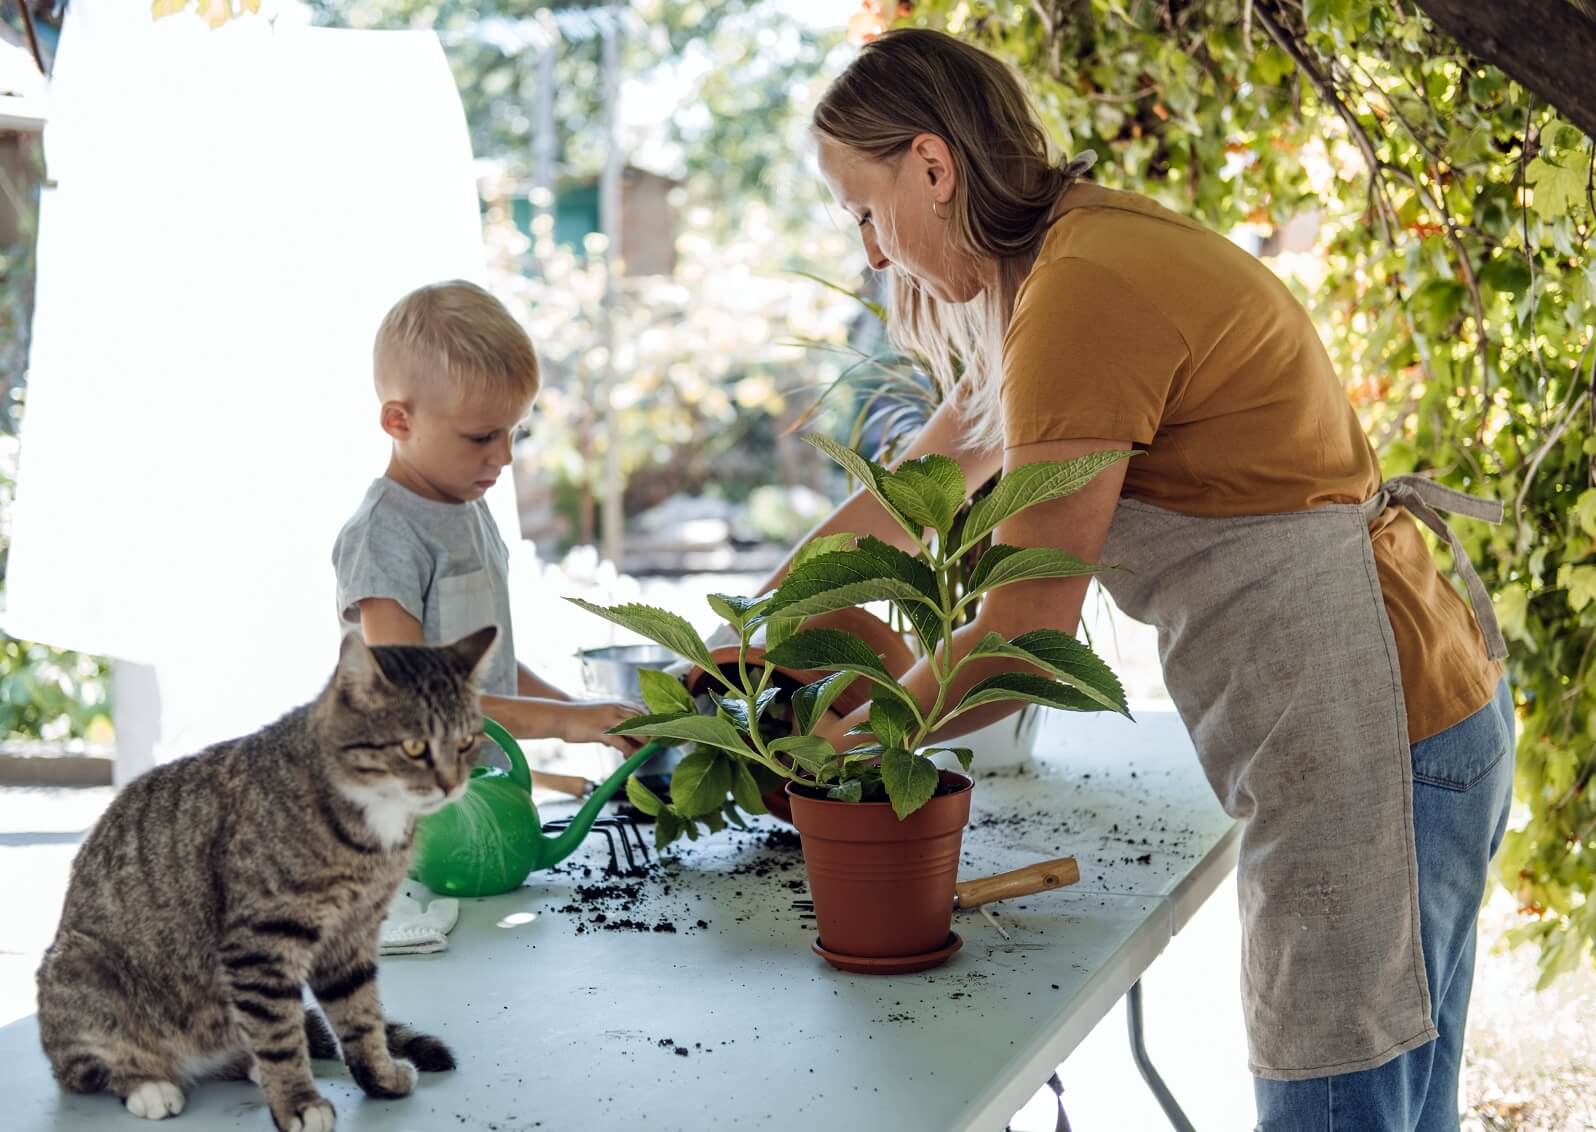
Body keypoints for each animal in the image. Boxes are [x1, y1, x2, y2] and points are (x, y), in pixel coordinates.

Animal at [38, 622, 497, 1124]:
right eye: (414, 747)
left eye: (467, 742)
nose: (452, 784)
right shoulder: (261, 942)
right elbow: (279, 1034)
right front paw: (297, 1101)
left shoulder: (352, 935)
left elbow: (361, 1016)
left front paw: (378, 1077)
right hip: (81, 968)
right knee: (83, 1069)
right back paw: (148, 1084)